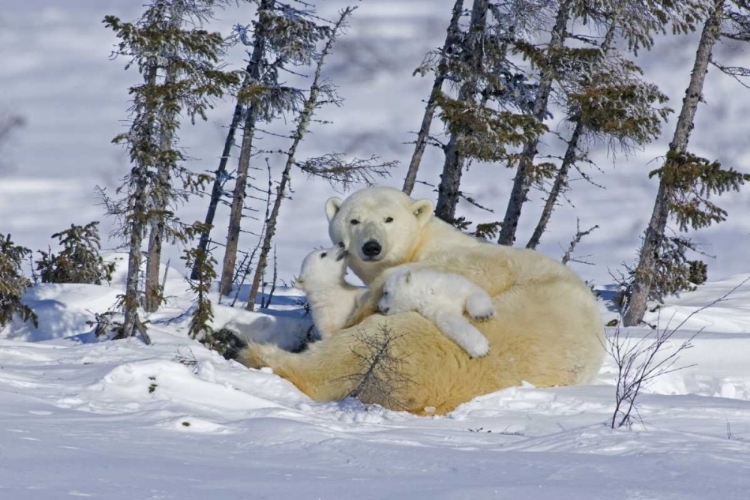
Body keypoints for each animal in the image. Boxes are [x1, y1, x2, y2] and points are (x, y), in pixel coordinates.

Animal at [241, 187, 604, 414]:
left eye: (388, 219)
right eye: (354, 220)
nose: (371, 246)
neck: (426, 240)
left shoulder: (474, 261)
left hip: (422, 342)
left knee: (348, 354)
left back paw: (252, 350)